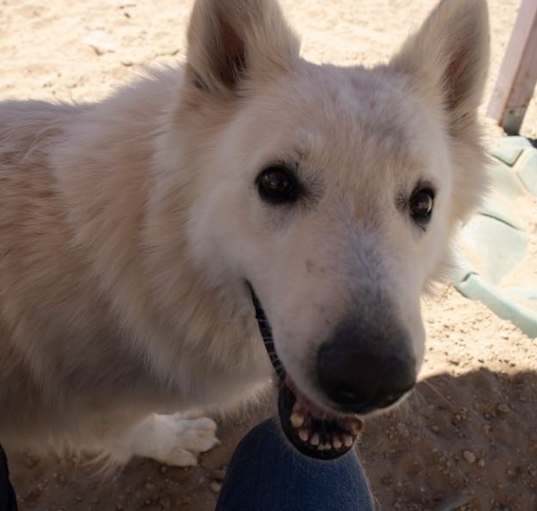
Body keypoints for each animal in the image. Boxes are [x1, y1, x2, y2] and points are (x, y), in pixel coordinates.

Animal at [0, 0, 488, 466]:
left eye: (423, 202)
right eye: (275, 182)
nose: (370, 379)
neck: (154, 254)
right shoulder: (98, 410)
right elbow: (136, 430)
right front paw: (173, 438)